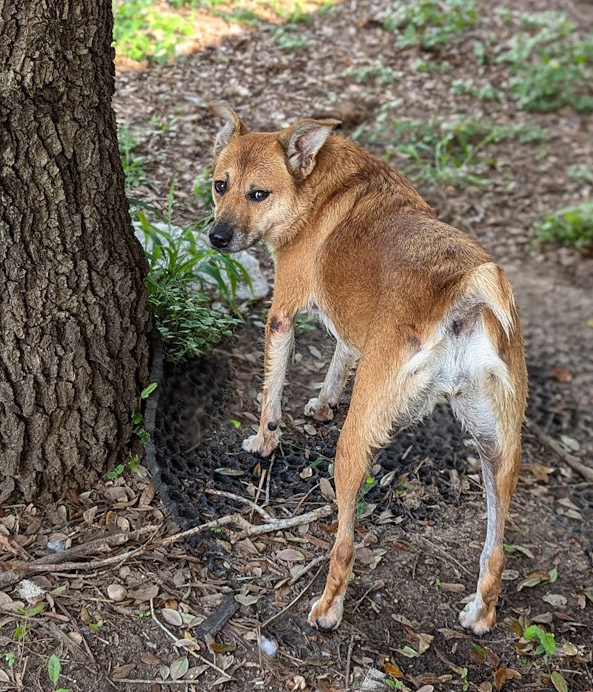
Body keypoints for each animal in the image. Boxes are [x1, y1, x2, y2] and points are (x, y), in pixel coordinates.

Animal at [208, 100, 528, 636]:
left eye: (258, 194)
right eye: (219, 185)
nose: (215, 237)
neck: (316, 185)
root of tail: (464, 292)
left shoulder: (281, 315)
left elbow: (271, 394)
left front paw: (265, 441)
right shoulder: (352, 327)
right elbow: (340, 356)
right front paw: (323, 402)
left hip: (354, 444)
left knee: (345, 544)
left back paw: (327, 609)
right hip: (498, 451)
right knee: (497, 550)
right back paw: (479, 614)